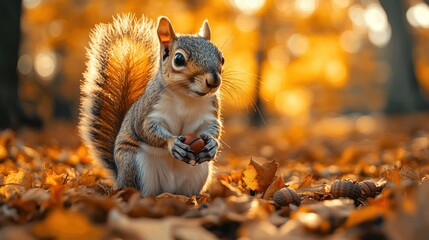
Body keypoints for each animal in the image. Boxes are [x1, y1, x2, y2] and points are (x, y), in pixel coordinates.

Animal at [79, 13, 224, 197]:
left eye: (222, 58)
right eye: (178, 59)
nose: (214, 81)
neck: (187, 97)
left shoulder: (209, 113)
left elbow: (213, 127)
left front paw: (212, 144)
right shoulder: (150, 109)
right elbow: (146, 128)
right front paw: (172, 143)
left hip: (199, 171)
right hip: (135, 165)